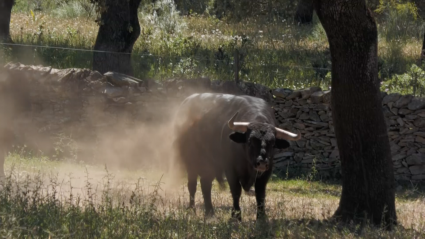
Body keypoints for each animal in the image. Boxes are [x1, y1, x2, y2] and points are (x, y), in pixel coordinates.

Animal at [171, 93, 300, 220]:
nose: (262, 162)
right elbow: (236, 190)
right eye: (250, 141)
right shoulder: (230, 170)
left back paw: (210, 213)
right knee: (192, 185)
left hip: (210, 165)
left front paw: (262, 216)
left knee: (205, 184)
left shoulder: (267, 172)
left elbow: (260, 193)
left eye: (273, 143)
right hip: (191, 162)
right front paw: (236, 215)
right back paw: (192, 209)